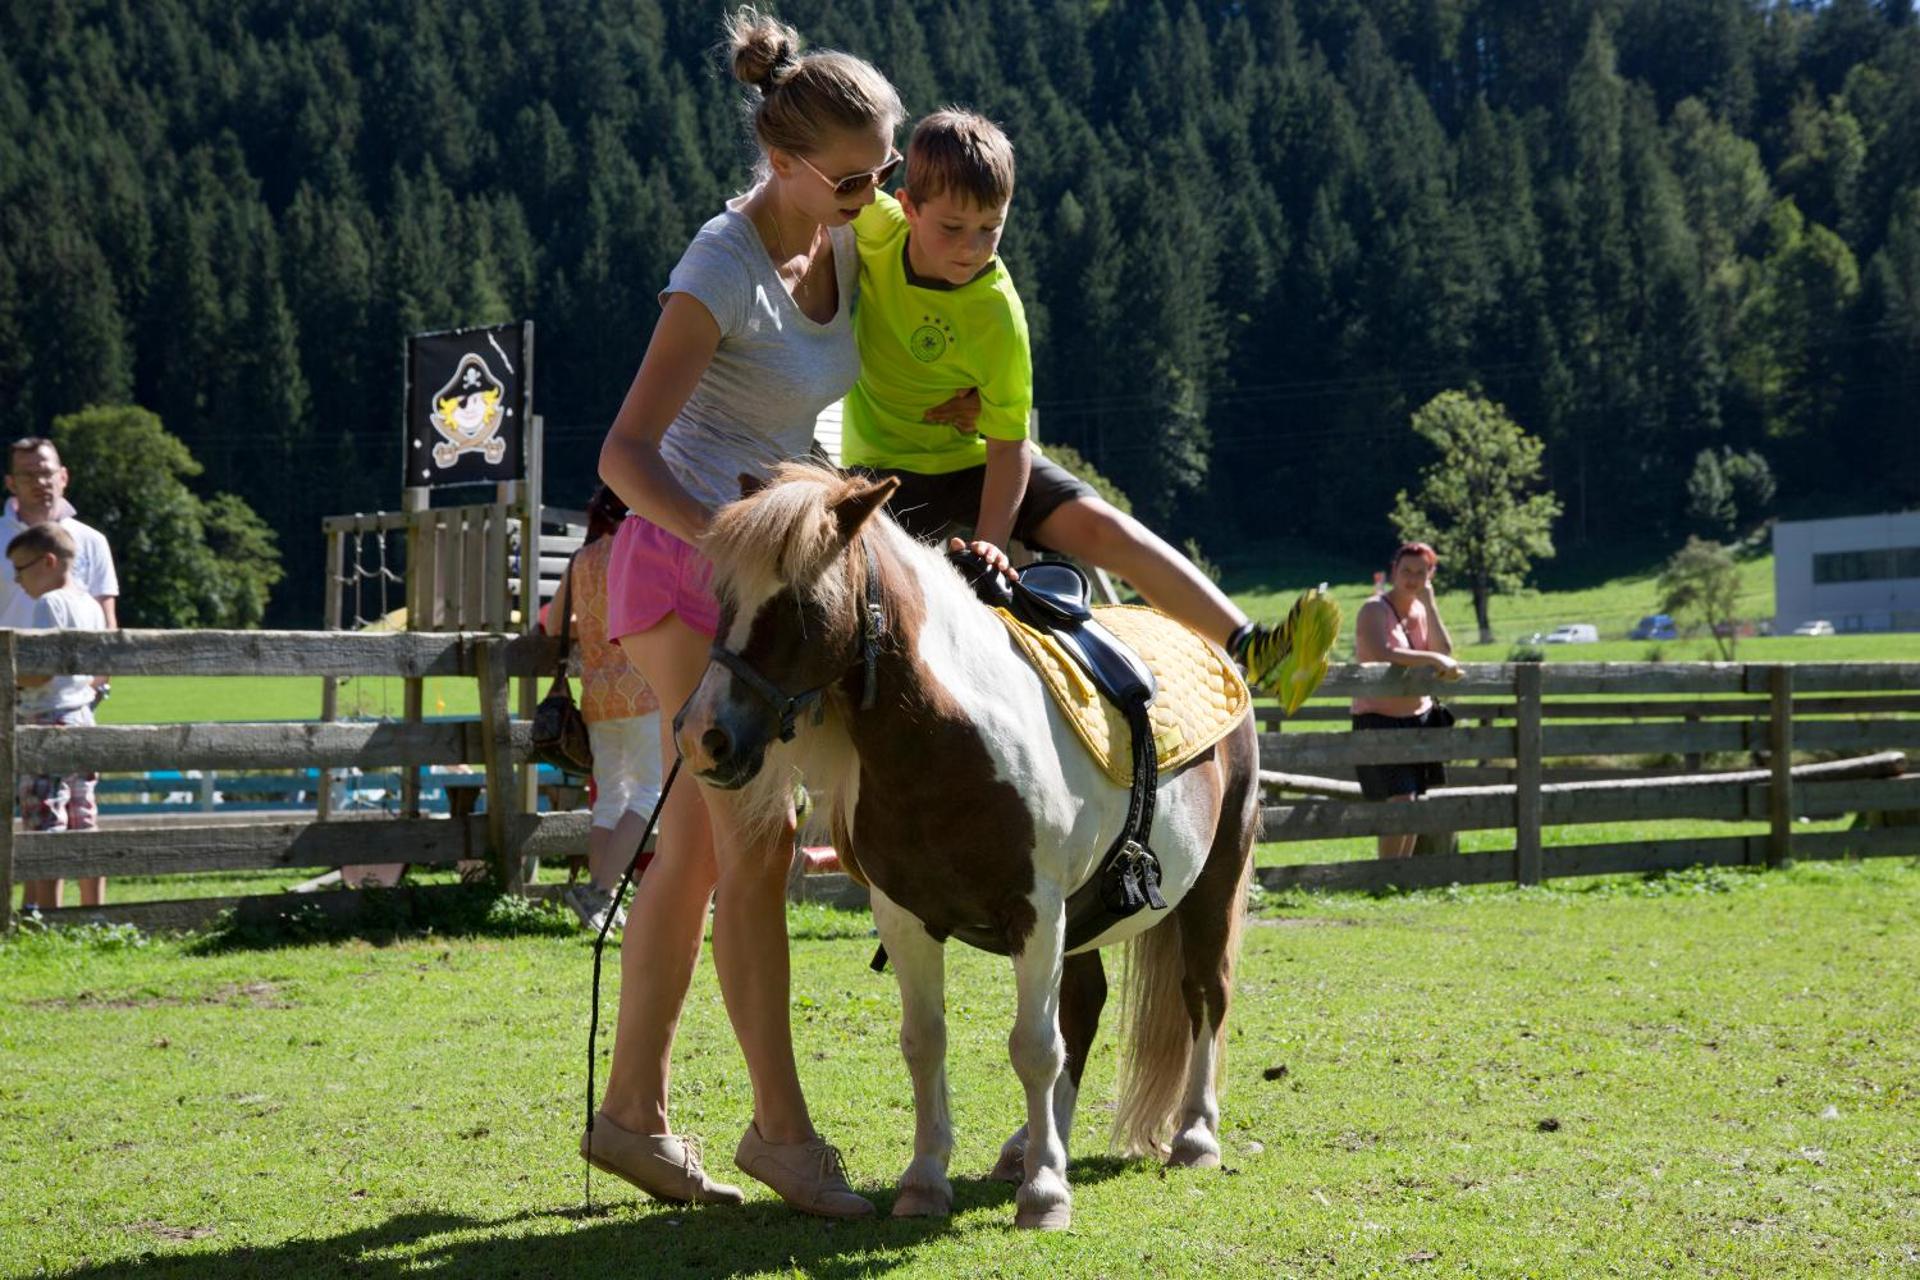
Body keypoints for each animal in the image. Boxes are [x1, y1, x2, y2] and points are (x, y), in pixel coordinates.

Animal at [675, 462, 1260, 1231]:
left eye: (798, 602)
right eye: (723, 596)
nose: (702, 736)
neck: (952, 740)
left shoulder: (1034, 912)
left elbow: (1034, 1048)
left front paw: (1044, 1195)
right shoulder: (907, 917)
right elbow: (927, 1044)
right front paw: (928, 1181)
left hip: (1213, 882)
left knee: (1203, 993)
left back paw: (1193, 1135)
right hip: (1084, 917)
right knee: (1085, 1006)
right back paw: (1035, 1145)